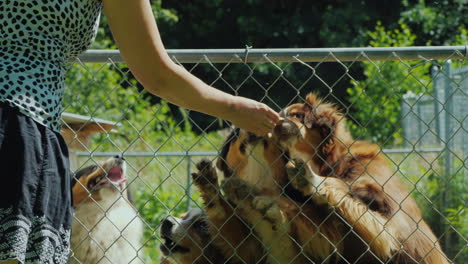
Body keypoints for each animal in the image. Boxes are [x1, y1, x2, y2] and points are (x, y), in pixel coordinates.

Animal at [274, 93, 450, 264]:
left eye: (297, 115)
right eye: (280, 115)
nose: (276, 123)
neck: (330, 161)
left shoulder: (388, 220)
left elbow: (343, 189)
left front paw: (310, 179)